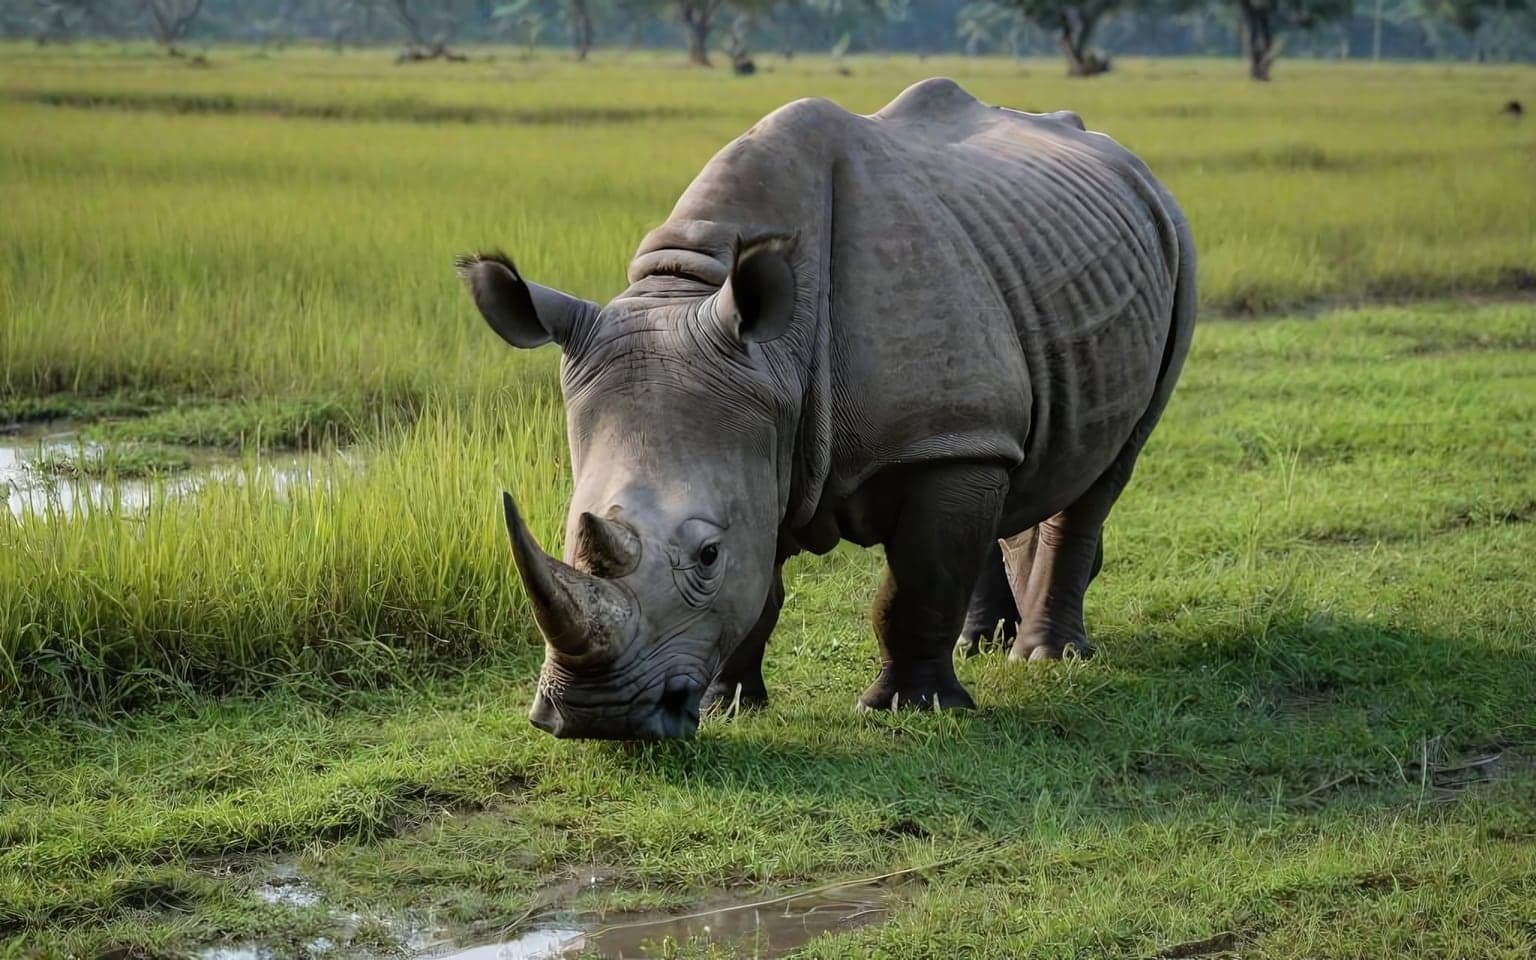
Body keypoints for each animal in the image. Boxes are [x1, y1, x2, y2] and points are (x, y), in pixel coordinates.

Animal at [456, 77, 1196, 740]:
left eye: (707, 555)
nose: (596, 719)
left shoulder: (932, 437)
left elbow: (918, 580)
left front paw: (909, 710)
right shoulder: (771, 429)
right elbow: (764, 586)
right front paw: (728, 707)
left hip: (1175, 243)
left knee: (1108, 466)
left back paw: (1047, 658)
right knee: (1010, 462)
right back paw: (978, 646)